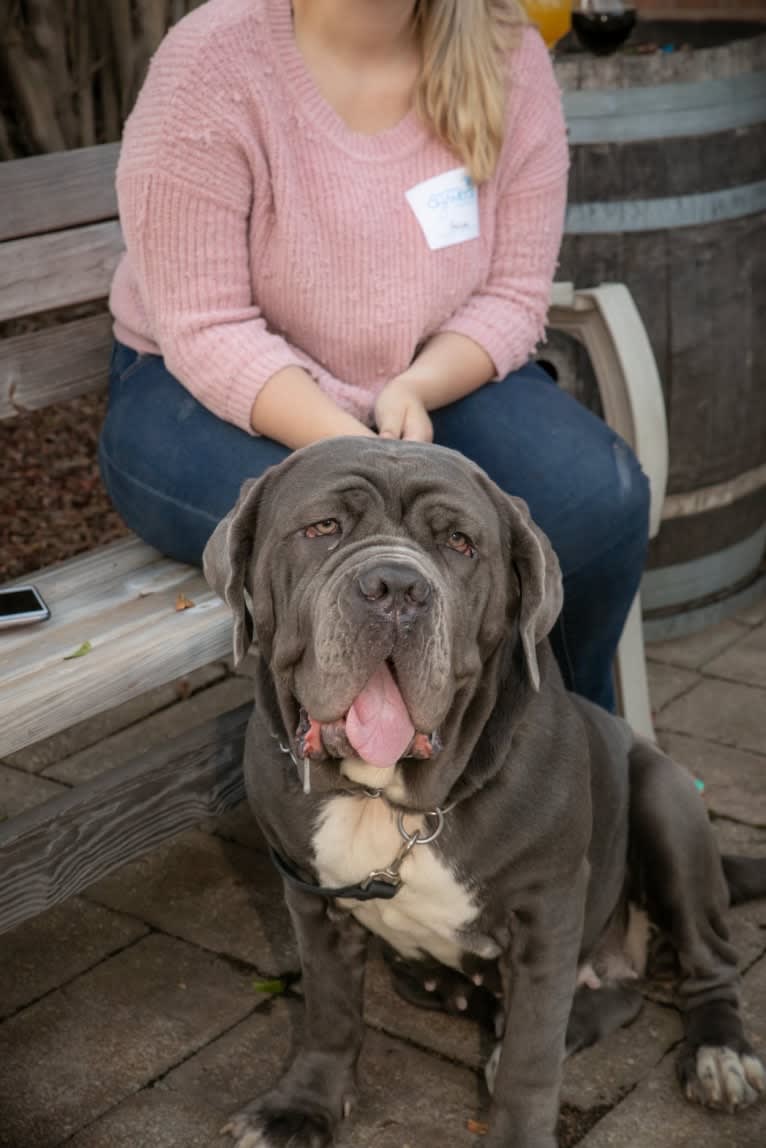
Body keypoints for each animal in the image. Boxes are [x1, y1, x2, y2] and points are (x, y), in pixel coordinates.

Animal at [203, 436, 766, 1148]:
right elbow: (328, 1010)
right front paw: (301, 1108)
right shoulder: (312, 900)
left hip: (667, 804)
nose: (395, 587)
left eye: (460, 543)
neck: (389, 800)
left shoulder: (545, 914)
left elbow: (532, 1055)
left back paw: (721, 1054)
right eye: (323, 528)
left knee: (707, 962)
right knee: (615, 997)